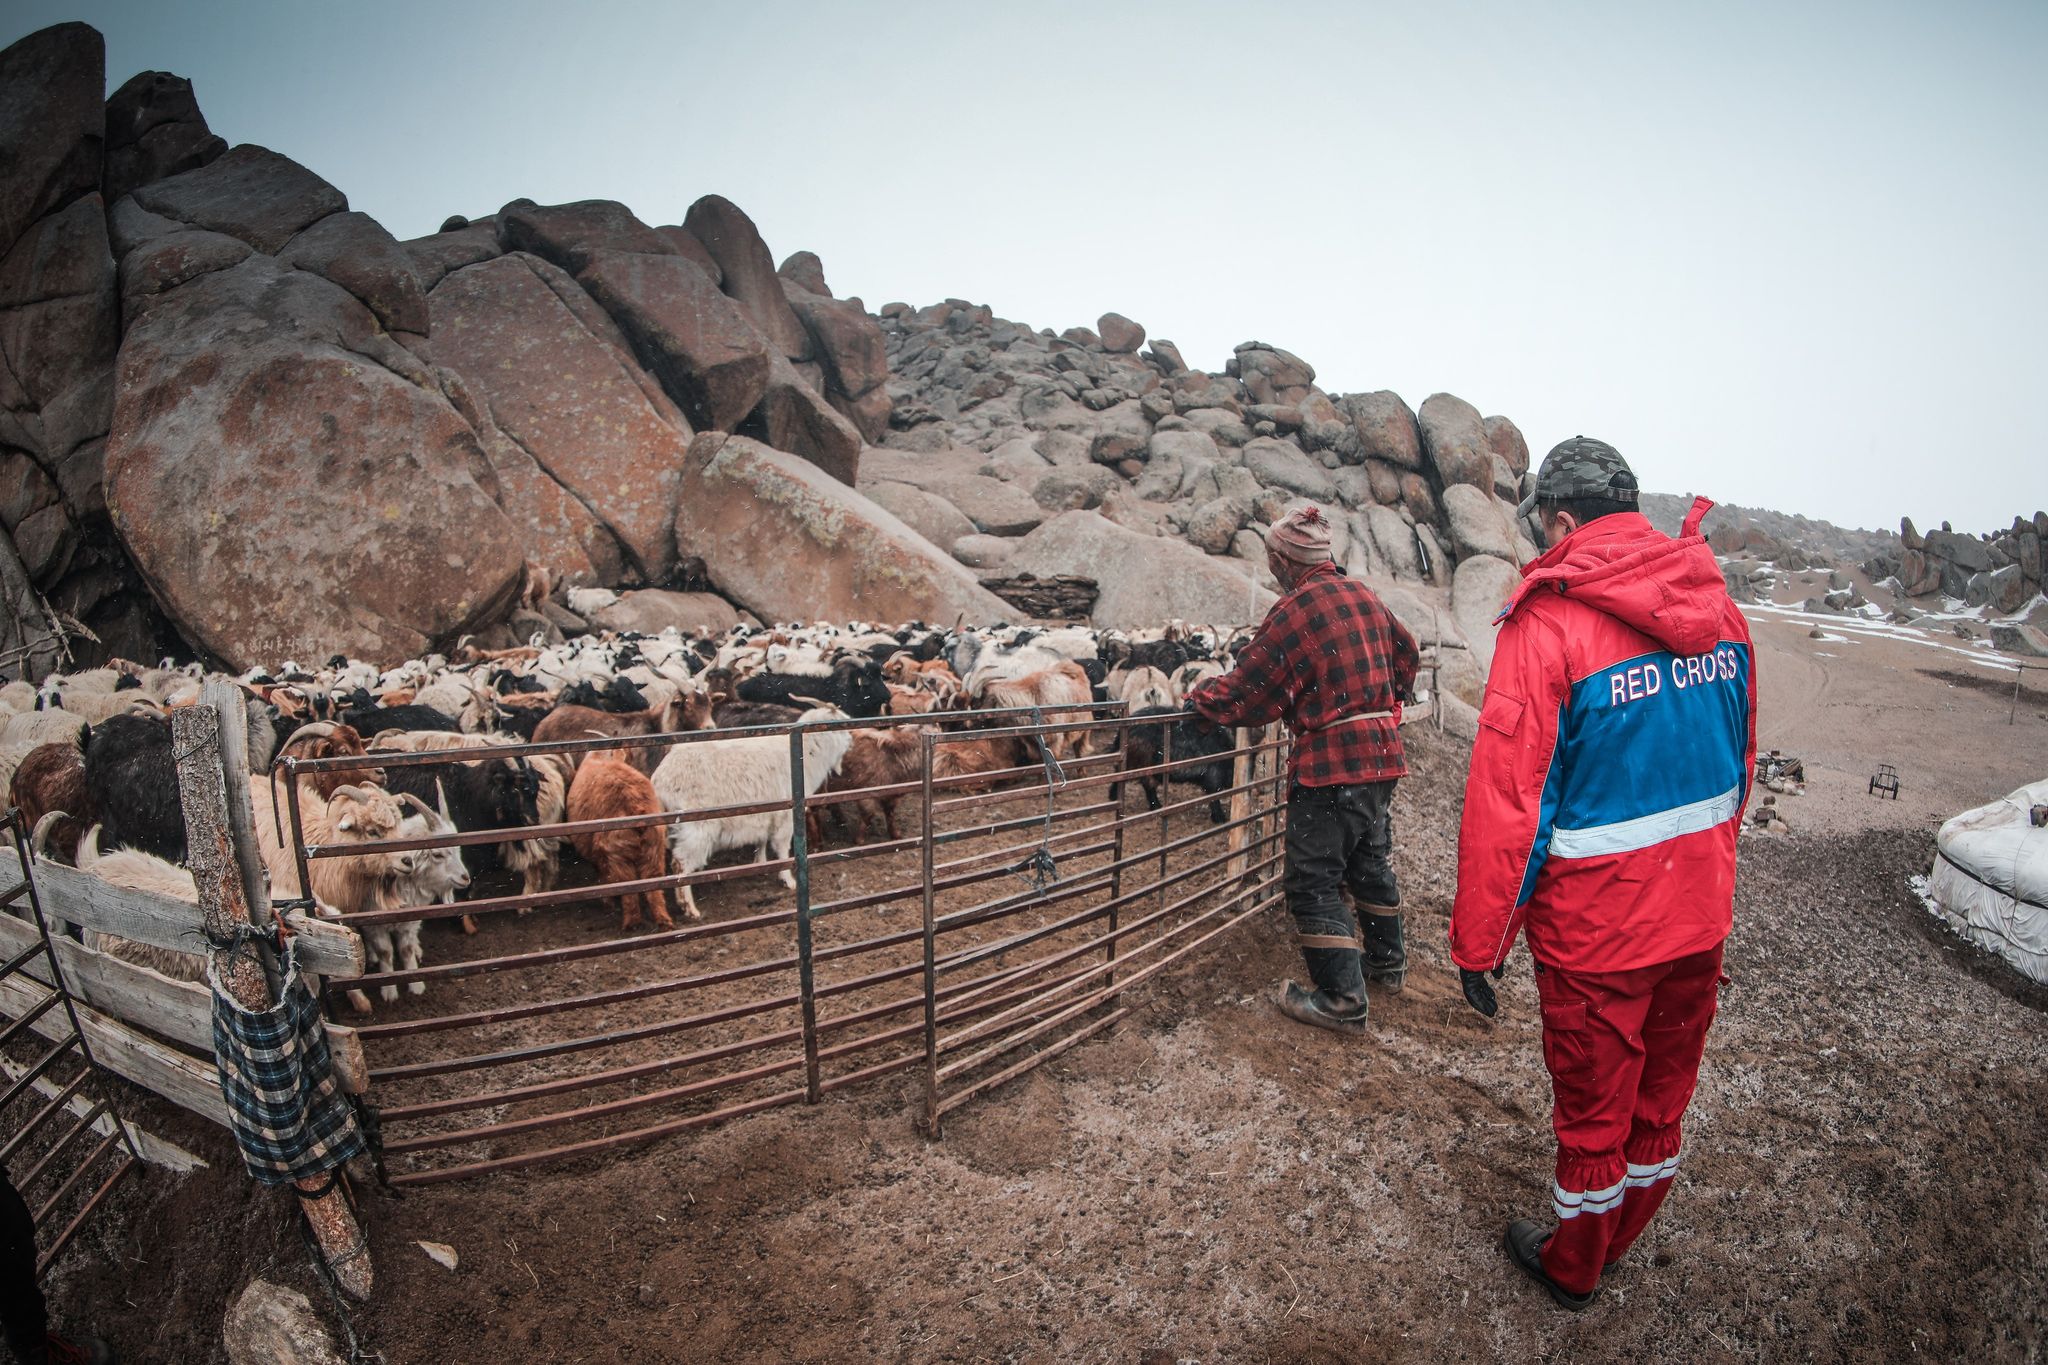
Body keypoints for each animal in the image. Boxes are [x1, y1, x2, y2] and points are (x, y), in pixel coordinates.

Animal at [565, 753, 675, 933]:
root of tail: (636, 805)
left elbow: (604, 877)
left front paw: (608, 904)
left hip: (619, 855)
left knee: (628, 889)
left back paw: (632, 923)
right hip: (654, 850)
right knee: (654, 885)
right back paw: (663, 921)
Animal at [651, 703, 851, 916]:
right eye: (841, 723)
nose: (851, 739)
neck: (807, 752)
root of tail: (660, 779)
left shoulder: (763, 812)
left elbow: (761, 840)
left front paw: (760, 863)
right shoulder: (786, 816)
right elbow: (782, 848)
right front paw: (787, 879)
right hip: (697, 827)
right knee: (680, 864)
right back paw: (689, 908)